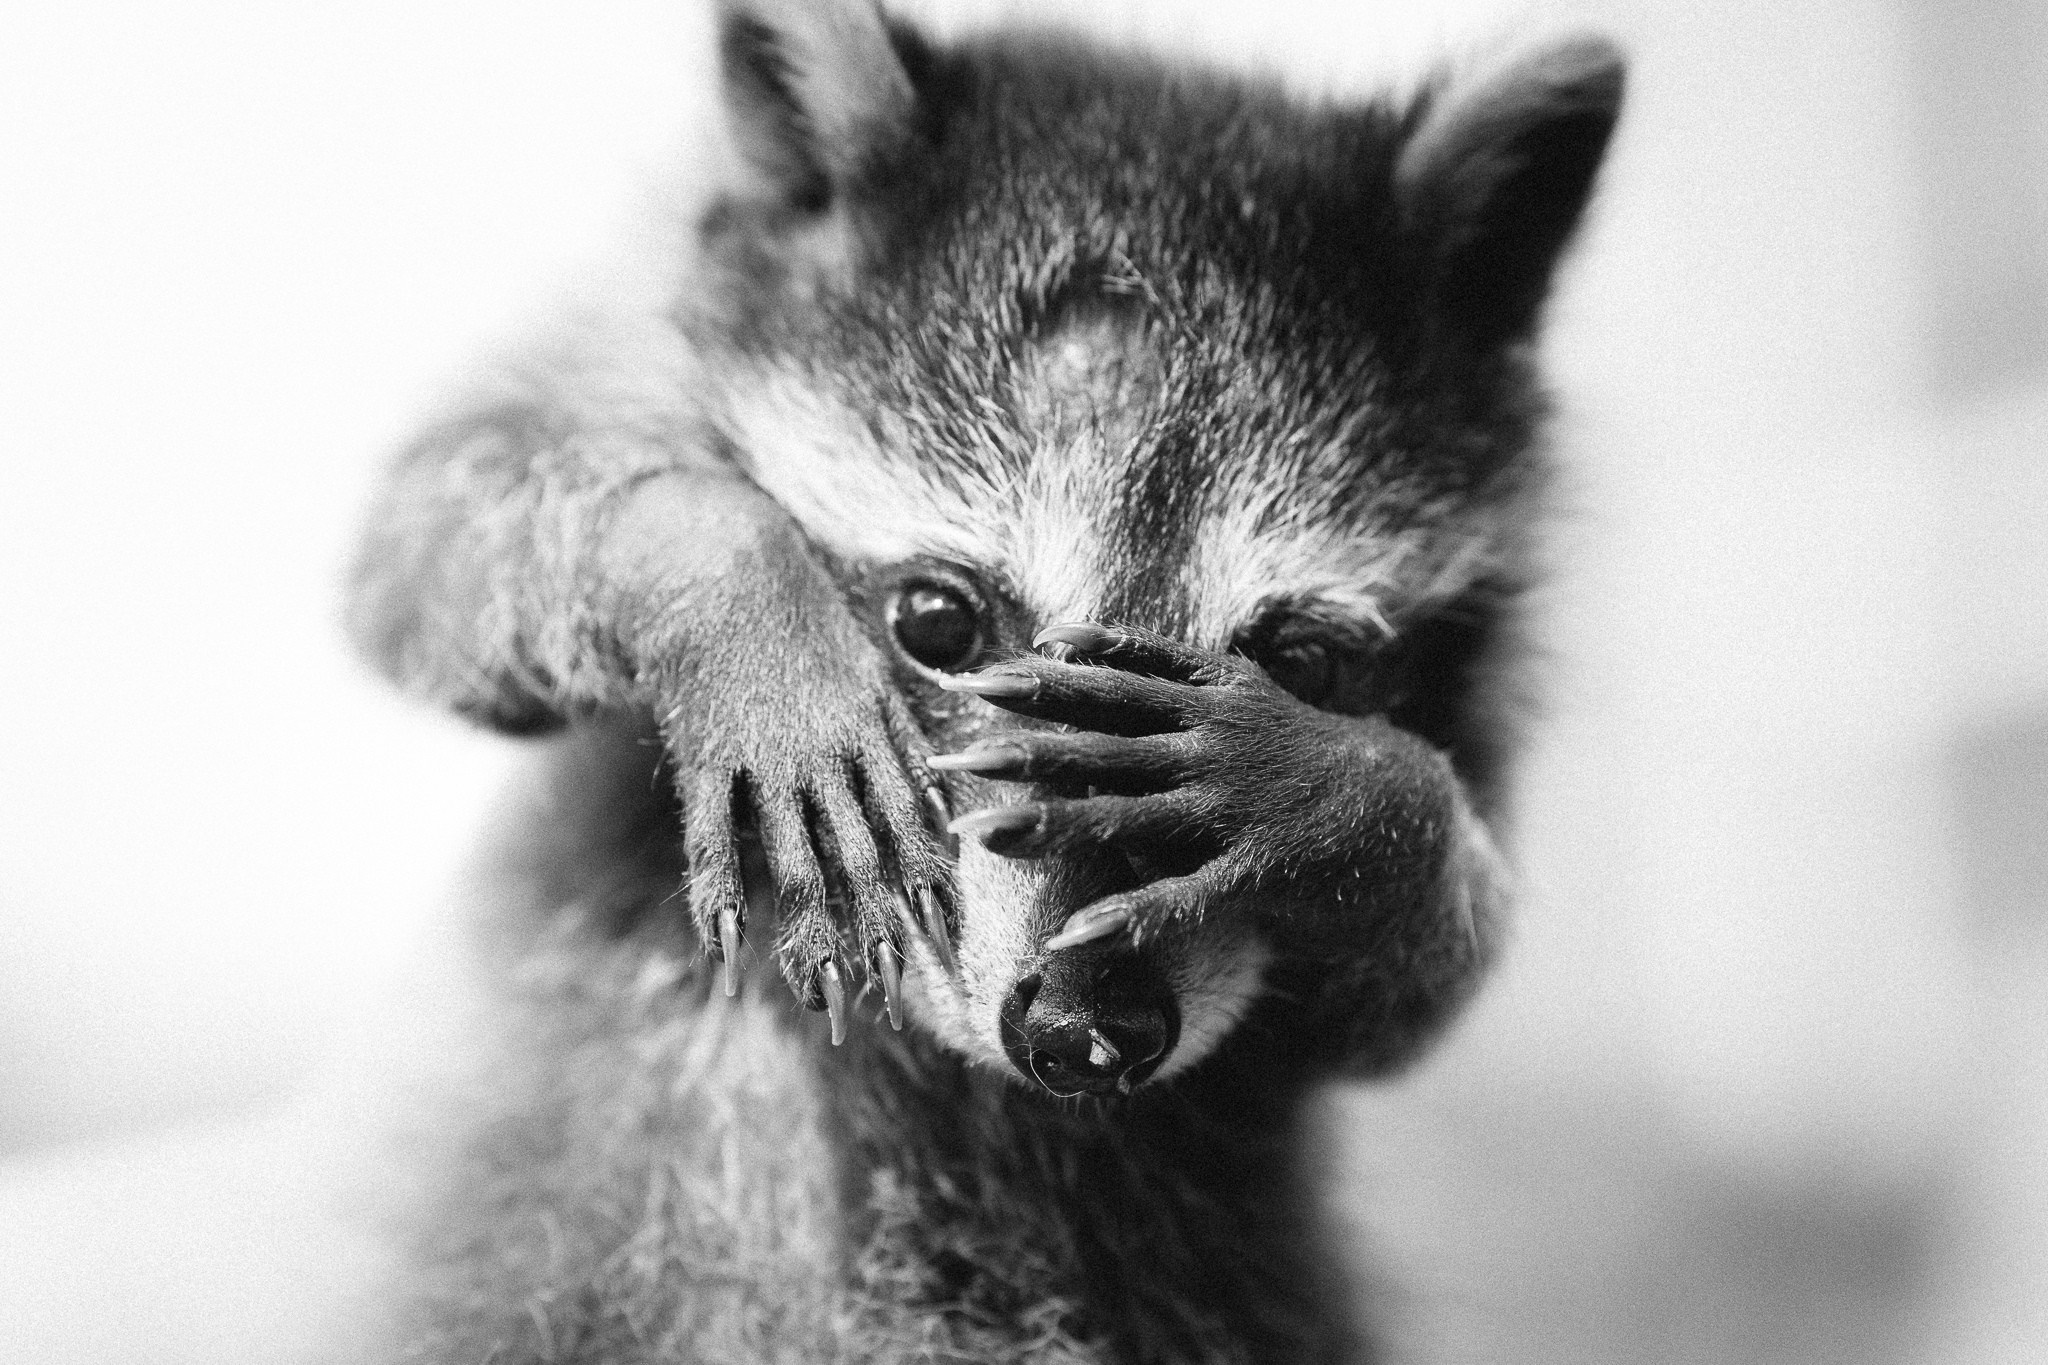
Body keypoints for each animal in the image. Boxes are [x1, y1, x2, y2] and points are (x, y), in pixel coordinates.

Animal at [344, 1, 1622, 1360]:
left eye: (1300, 663)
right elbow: (427, 543)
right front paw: (728, 589)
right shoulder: (626, 359)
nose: (1084, 1035)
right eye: (938, 624)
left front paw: (1339, 792)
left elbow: (1422, 976)